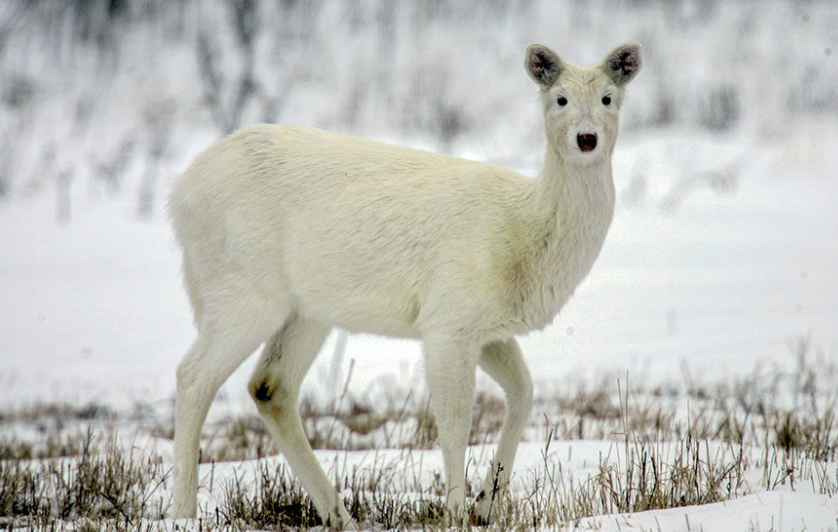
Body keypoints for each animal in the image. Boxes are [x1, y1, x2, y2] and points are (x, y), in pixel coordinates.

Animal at [169, 42, 644, 528]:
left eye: (608, 98)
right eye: (560, 99)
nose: (586, 139)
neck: (524, 234)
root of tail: (179, 194)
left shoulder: (489, 328)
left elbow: (524, 393)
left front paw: (487, 502)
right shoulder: (448, 318)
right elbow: (455, 420)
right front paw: (455, 510)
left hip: (307, 310)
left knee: (269, 386)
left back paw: (339, 514)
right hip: (243, 288)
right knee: (193, 376)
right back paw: (184, 510)